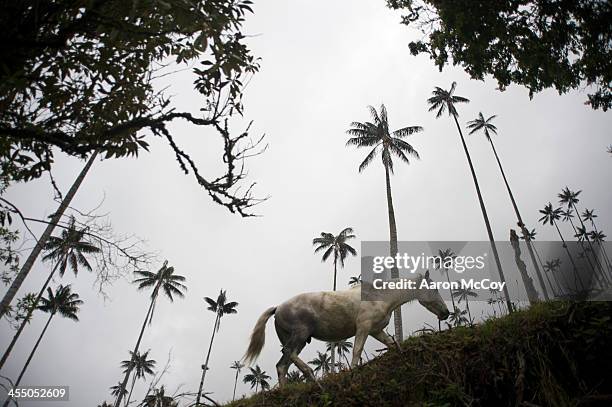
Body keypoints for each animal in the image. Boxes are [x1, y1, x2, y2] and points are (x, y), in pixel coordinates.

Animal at [244, 272, 450, 384]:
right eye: (434, 289)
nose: (446, 313)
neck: (379, 296)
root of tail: (278, 308)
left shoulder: (376, 331)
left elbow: (392, 345)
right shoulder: (364, 328)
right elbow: (357, 351)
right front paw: (352, 373)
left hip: (298, 341)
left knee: (282, 366)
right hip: (299, 336)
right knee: (288, 355)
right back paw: (310, 374)